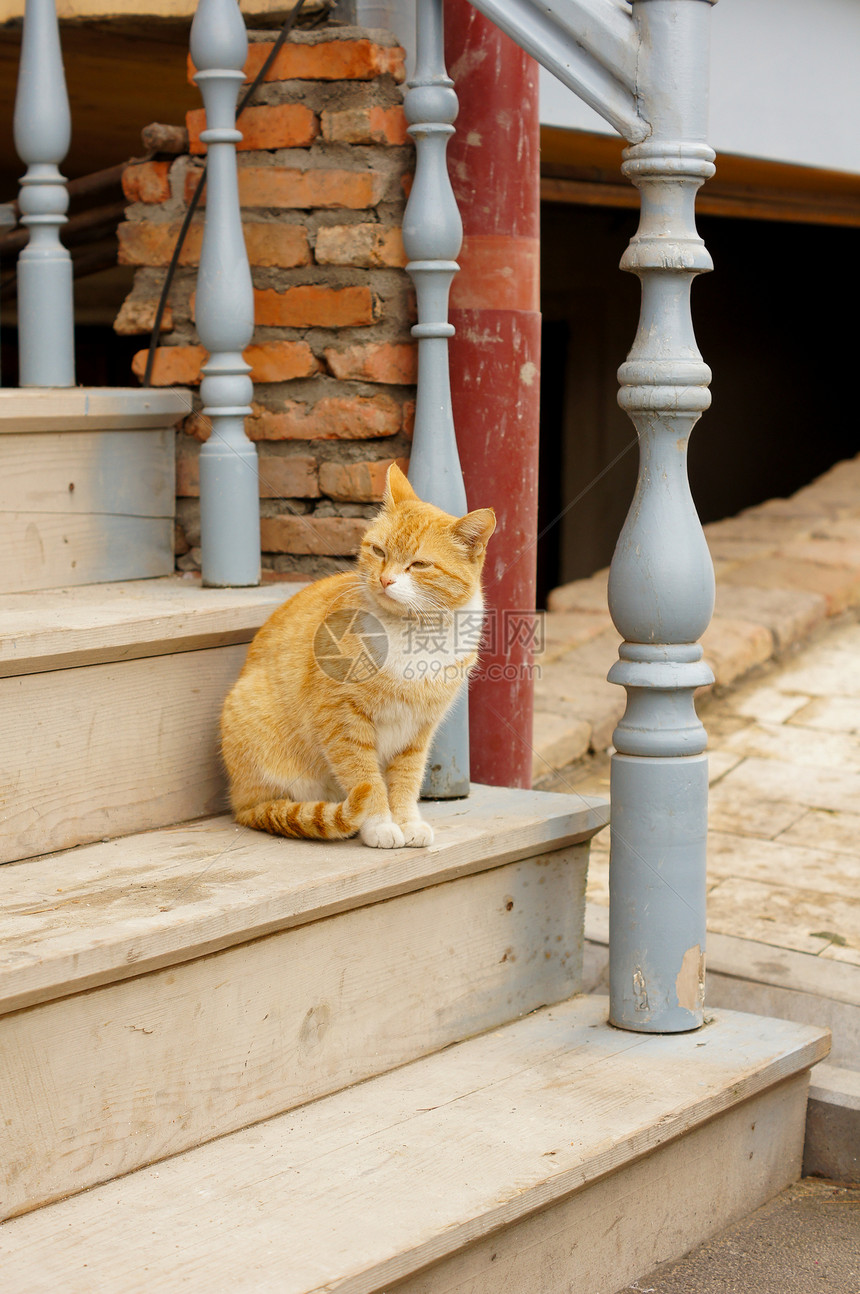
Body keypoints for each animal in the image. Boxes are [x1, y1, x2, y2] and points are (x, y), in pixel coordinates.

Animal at [218, 465, 494, 848]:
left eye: (419, 564)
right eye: (378, 550)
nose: (385, 580)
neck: (413, 632)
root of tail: (239, 802)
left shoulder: (418, 731)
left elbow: (406, 781)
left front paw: (407, 822)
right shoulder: (343, 721)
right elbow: (365, 778)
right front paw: (380, 825)